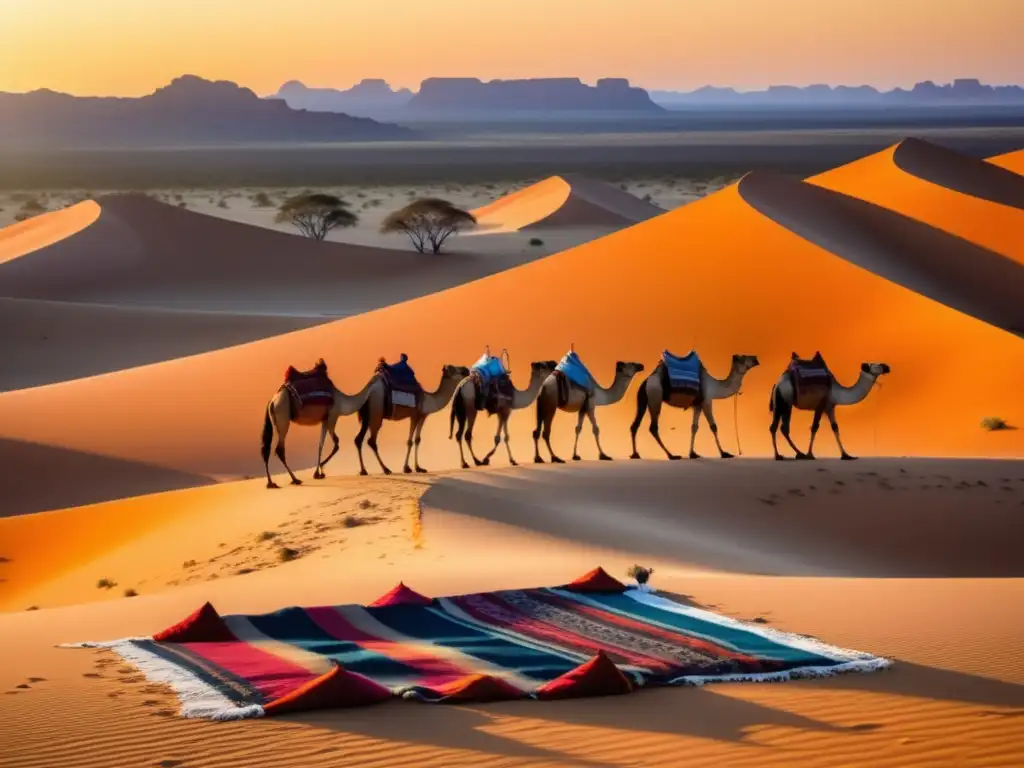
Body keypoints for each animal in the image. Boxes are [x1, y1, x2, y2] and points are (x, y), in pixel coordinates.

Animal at [626, 352, 757, 460]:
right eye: (743, 357)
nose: (756, 359)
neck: (715, 386)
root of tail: (646, 382)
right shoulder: (707, 401)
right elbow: (713, 426)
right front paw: (724, 453)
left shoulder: (697, 405)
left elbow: (694, 427)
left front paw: (693, 454)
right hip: (655, 396)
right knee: (653, 427)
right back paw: (672, 455)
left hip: (643, 399)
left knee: (635, 425)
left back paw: (635, 454)